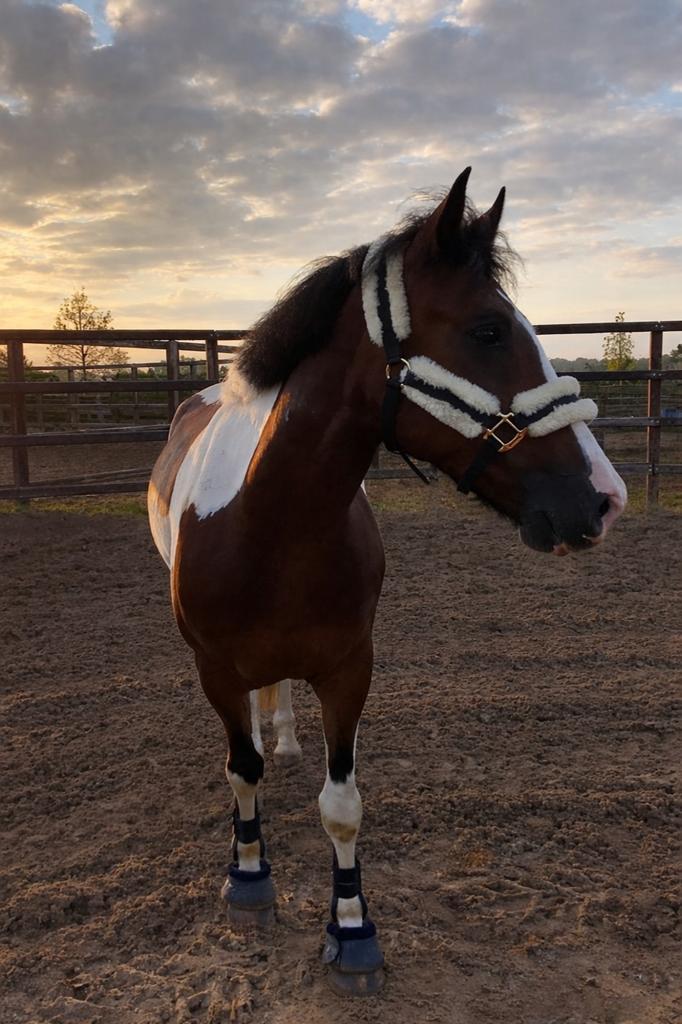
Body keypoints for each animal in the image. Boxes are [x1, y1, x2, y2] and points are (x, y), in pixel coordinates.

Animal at [147, 168, 626, 995]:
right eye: (488, 330)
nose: (604, 496)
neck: (270, 529)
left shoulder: (350, 669)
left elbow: (342, 803)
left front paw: (351, 930)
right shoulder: (213, 667)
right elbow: (241, 773)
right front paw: (250, 879)